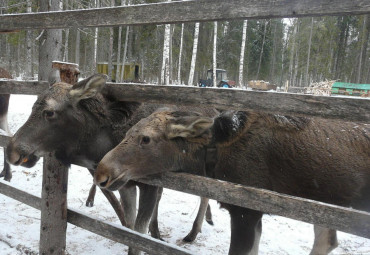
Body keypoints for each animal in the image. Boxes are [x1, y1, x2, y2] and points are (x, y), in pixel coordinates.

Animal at [6, 74, 217, 254]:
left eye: (49, 112)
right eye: (32, 107)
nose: (11, 150)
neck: (104, 144)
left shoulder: (148, 184)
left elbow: (138, 234)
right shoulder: (126, 186)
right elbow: (130, 230)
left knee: (205, 194)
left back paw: (193, 232)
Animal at [94, 108, 370, 254]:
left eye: (146, 139)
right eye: (128, 133)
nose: (101, 172)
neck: (216, 155)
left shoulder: (246, 211)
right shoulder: (253, 215)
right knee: (328, 240)